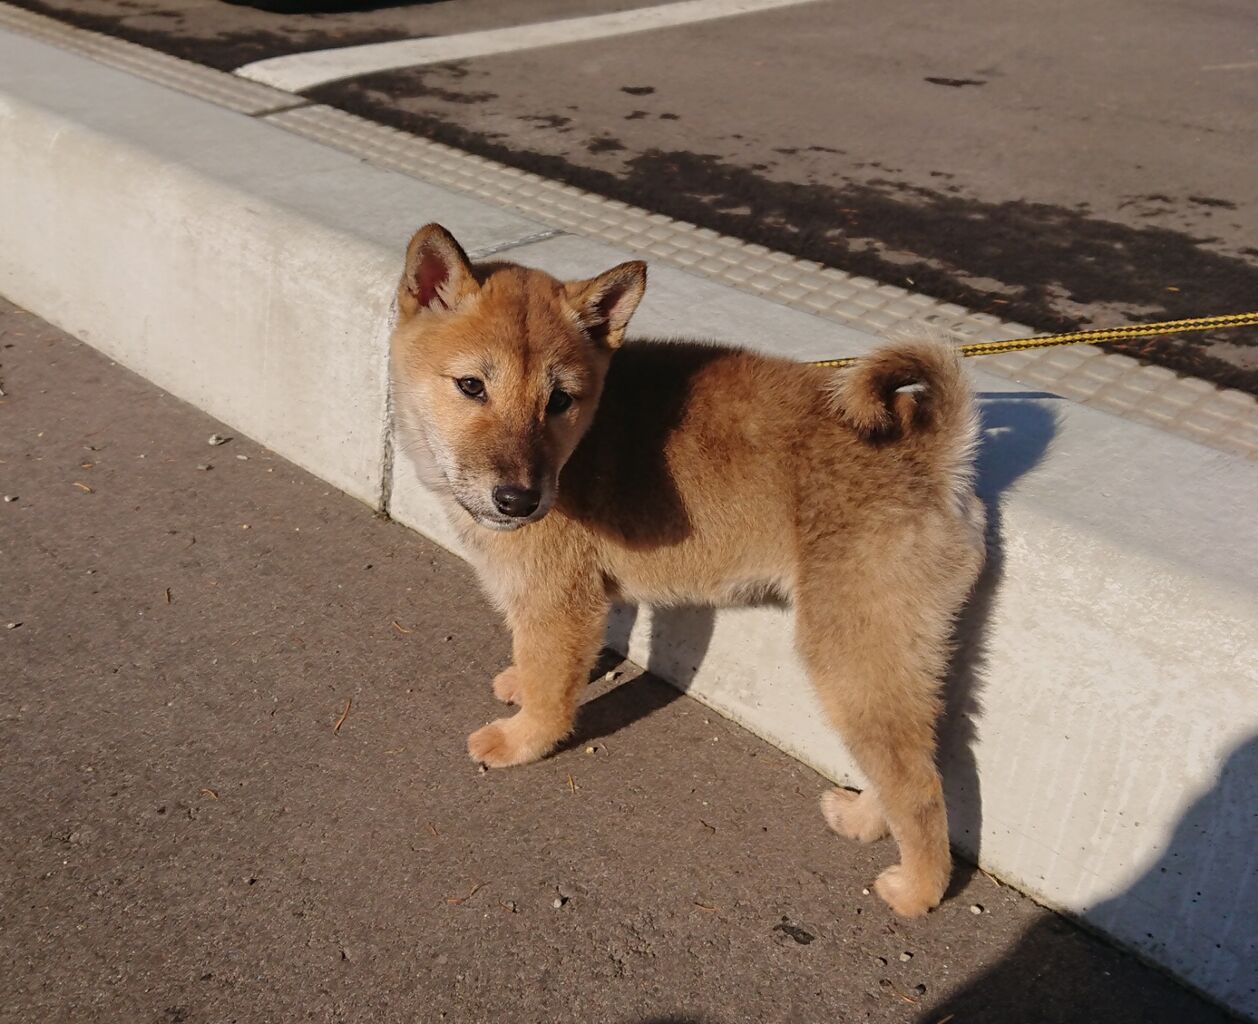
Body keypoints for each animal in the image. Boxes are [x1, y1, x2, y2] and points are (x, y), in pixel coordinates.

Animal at [387, 222, 986, 915]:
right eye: (471, 387)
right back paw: (865, 818)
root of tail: (930, 451)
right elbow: (540, 663)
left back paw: (917, 889)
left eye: (559, 400)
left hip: (850, 654)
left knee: (917, 784)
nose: (519, 500)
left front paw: (520, 741)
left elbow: (551, 694)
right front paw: (518, 680)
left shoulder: (560, 599)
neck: (583, 443)